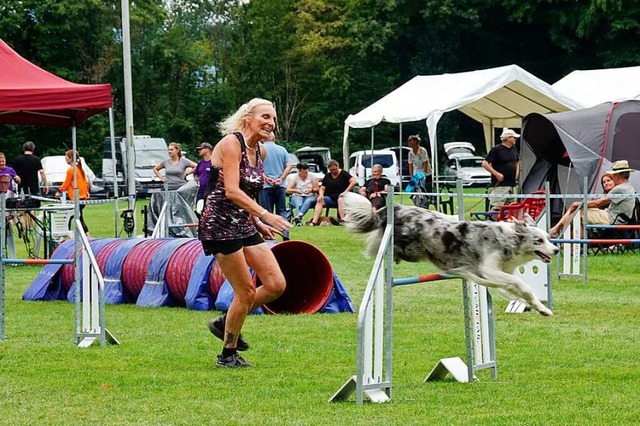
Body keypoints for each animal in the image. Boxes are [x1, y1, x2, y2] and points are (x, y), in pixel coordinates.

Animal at [342, 193, 556, 316]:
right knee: (377, 246)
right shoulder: (488, 270)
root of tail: (394, 207)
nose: (556, 250)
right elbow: (522, 285)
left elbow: (519, 291)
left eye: (548, 238)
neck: (507, 240)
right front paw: (538, 305)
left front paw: (542, 308)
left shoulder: (501, 273)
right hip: (411, 246)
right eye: (538, 241)